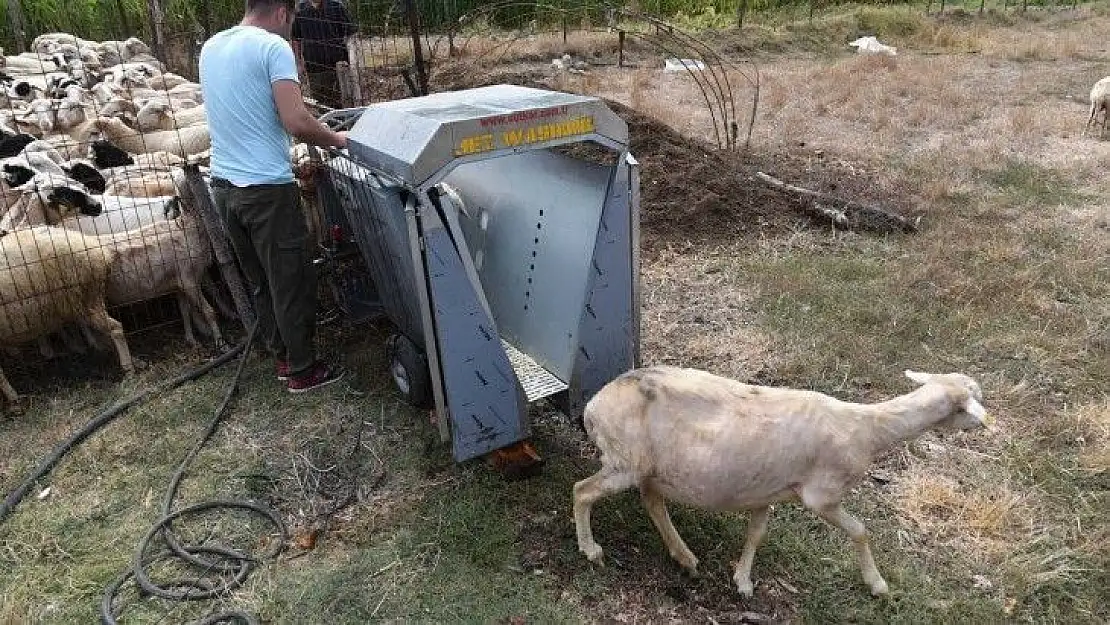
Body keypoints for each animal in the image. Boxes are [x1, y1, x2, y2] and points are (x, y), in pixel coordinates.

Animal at [572, 368, 990, 599]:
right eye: (971, 400)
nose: (986, 424)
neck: (868, 428)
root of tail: (594, 405)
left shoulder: (766, 491)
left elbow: (756, 534)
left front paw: (742, 581)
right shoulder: (822, 495)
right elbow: (860, 531)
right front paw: (877, 584)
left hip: (652, 468)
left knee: (651, 501)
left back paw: (684, 556)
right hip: (625, 460)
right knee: (582, 491)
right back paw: (591, 550)